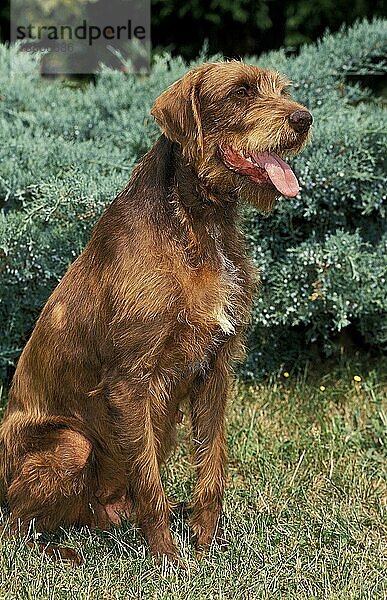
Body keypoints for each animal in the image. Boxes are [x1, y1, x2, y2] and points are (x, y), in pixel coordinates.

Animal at [0, 63, 312, 564]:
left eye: (281, 91)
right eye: (241, 92)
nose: (303, 119)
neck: (198, 222)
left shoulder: (216, 367)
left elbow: (212, 465)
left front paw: (206, 542)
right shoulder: (132, 380)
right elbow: (150, 486)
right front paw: (166, 556)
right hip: (70, 445)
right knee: (15, 528)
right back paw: (61, 554)